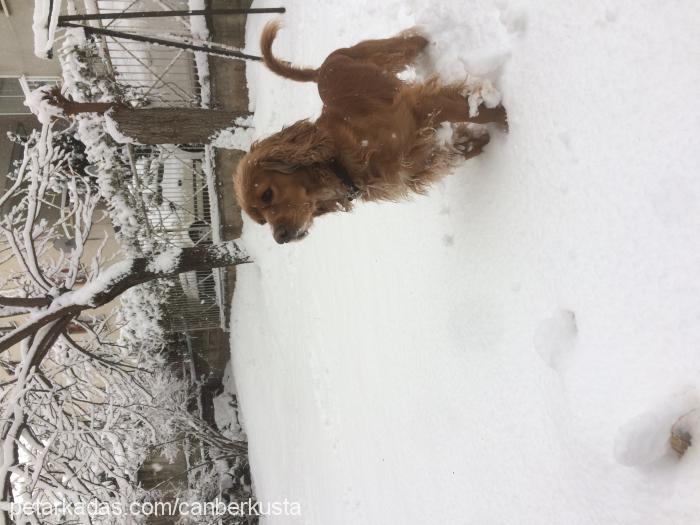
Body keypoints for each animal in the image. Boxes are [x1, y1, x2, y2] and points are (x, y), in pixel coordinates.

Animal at [237, 22, 508, 244]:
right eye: (261, 221)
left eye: (267, 194)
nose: (279, 238)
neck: (341, 160)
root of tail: (320, 70)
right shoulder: (420, 162)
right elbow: (464, 147)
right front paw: (486, 139)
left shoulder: (417, 106)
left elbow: (477, 113)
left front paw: (508, 119)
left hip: (386, 53)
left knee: (411, 39)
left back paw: (429, 37)